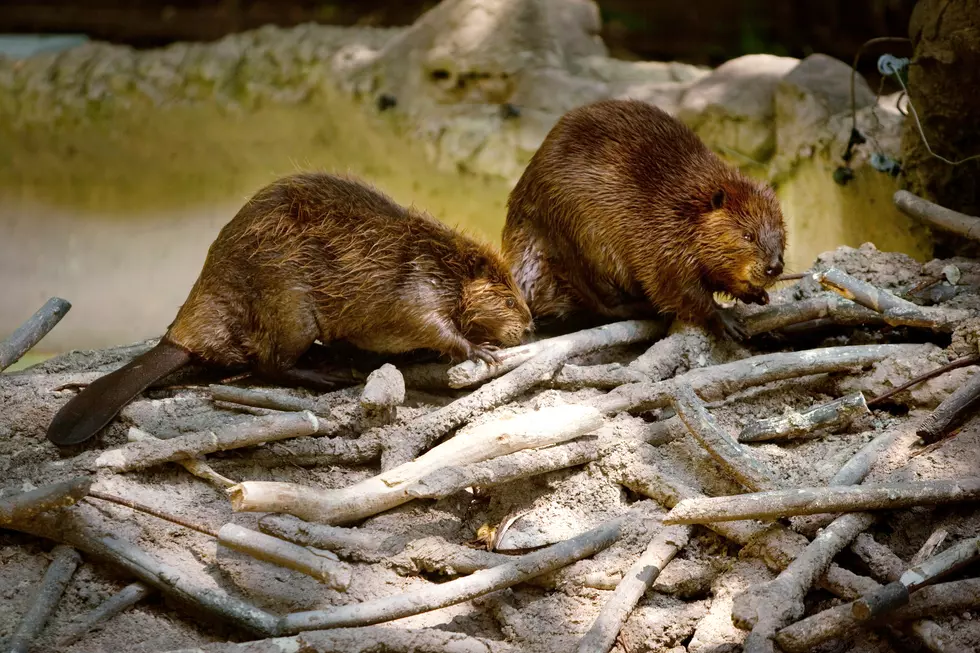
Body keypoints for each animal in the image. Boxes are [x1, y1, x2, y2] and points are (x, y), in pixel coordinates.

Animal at [46, 171, 532, 446]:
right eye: (509, 298)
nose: (527, 326)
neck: (437, 261)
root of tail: (179, 339)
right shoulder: (415, 286)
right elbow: (431, 324)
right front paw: (480, 350)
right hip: (289, 306)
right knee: (270, 364)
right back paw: (329, 373)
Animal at [502, 99, 784, 338]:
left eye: (781, 234)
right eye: (748, 235)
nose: (775, 267)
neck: (685, 203)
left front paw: (756, 294)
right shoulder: (659, 234)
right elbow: (674, 286)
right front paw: (726, 320)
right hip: (575, 237)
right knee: (602, 302)